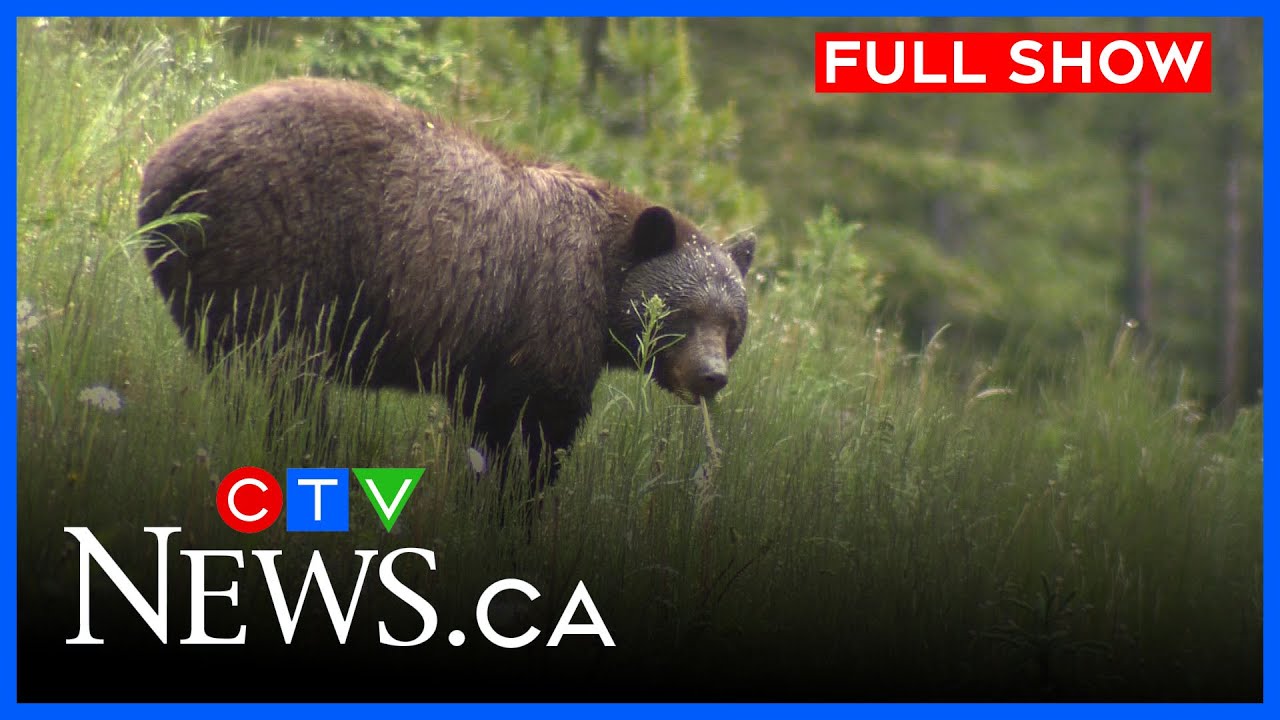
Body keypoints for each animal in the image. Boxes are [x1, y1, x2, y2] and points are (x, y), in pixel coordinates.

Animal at [138, 77, 755, 489]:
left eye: (732, 324)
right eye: (684, 313)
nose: (711, 376)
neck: (605, 283)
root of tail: (166, 165)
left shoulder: (491, 357)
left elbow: (491, 425)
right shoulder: (549, 311)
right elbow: (539, 426)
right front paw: (521, 498)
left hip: (201, 279)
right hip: (277, 249)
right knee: (281, 373)